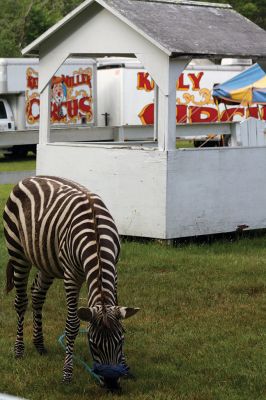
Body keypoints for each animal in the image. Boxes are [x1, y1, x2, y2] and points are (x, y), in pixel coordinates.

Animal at [4, 176, 139, 390]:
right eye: (93, 343)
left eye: (121, 340)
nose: (111, 384)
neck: (96, 236)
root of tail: (29, 178)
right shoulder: (72, 276)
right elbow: (72, 324)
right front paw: (67, 374)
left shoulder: (115, 271)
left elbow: (117, 309)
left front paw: (125, 368)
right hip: (18, 253)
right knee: (21, 301)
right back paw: (19, 350)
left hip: (47, 261)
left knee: (37, 295)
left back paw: (39, 344)